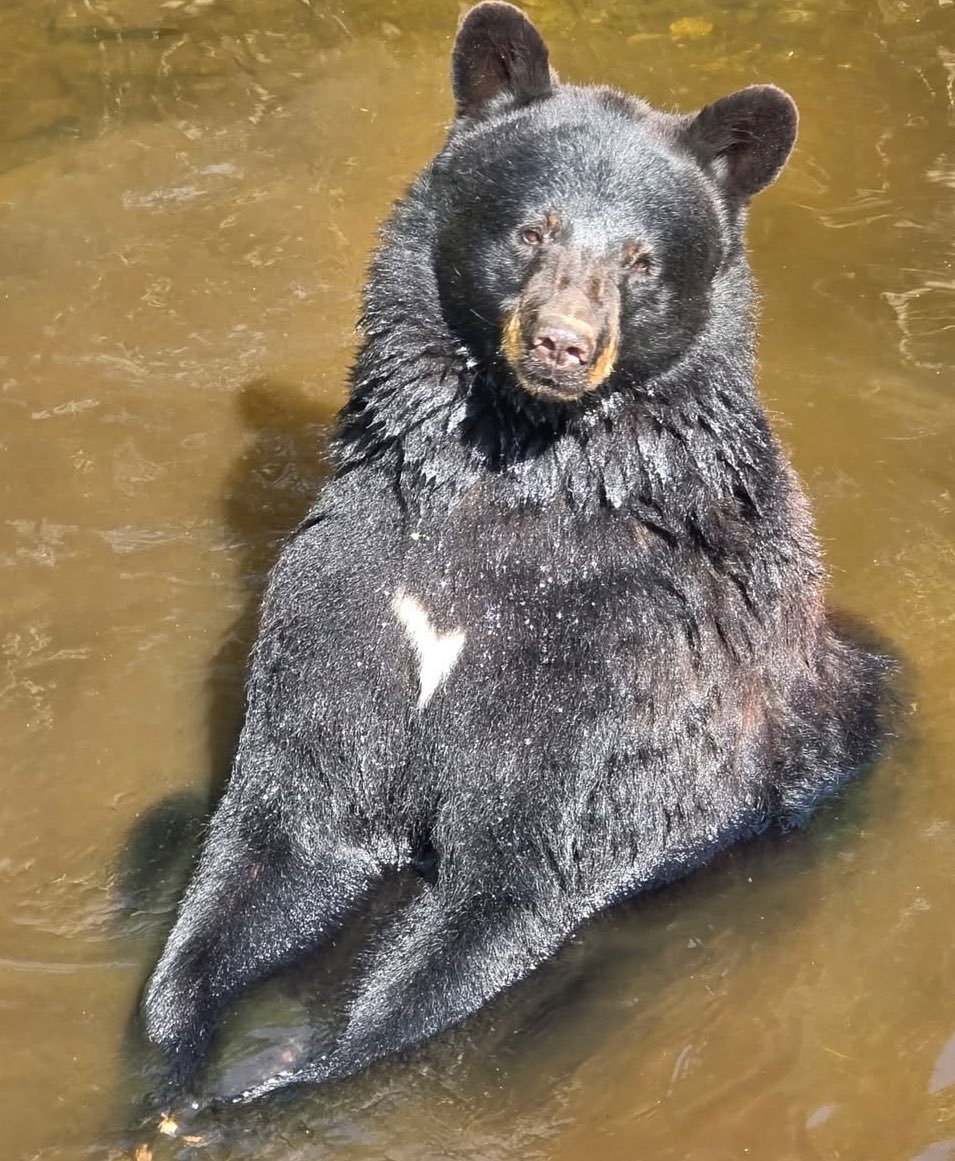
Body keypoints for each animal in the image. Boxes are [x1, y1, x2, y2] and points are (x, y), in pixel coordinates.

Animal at [141, 0, 889, 1106]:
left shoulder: (617, 662)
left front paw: (280, 1075)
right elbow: (282, 820)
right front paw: (178, 1042)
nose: (562, 344)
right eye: (531, 229)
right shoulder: (354, 596)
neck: (506, 485)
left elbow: (517, 869)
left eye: (641, 259)